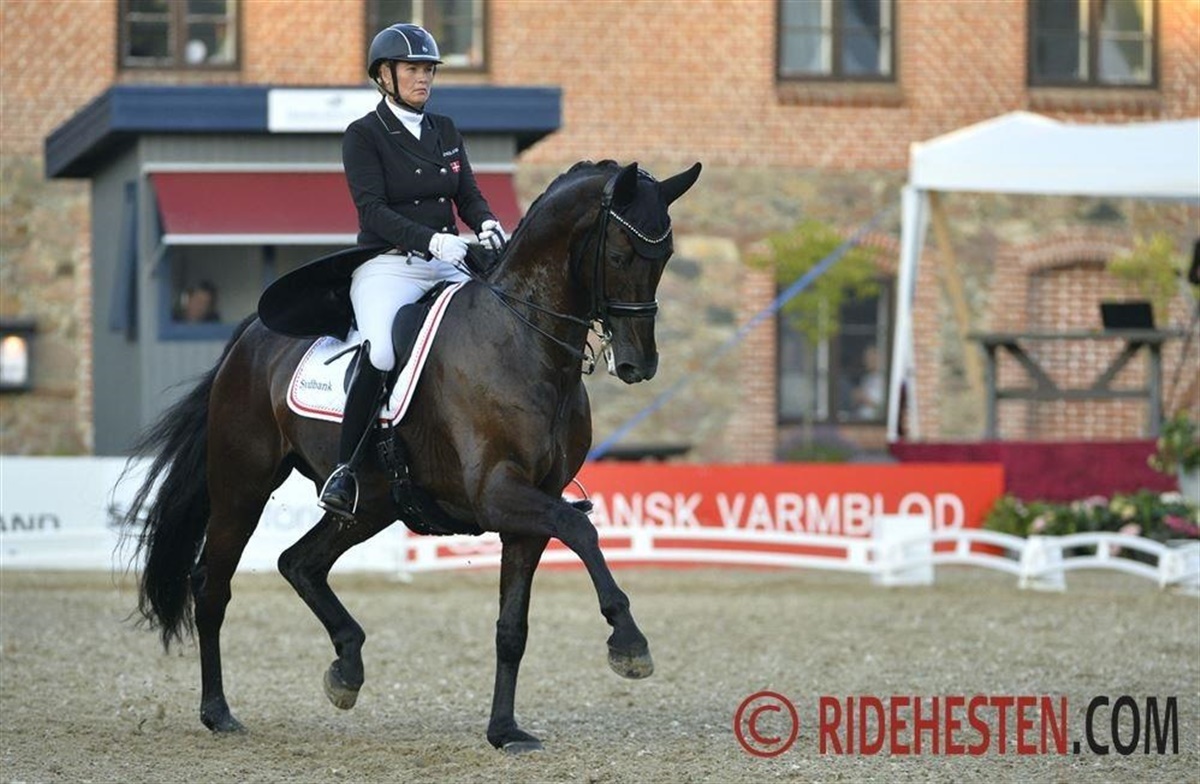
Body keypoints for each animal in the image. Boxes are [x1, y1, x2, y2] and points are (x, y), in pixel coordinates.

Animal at [119, 159, 702, 752]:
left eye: (667, 257)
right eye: (620, 256)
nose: (638, 364)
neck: (523, 340)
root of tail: (247, 338)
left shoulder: (530, 508)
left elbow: (512, 628)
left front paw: (504, 730)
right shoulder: (498, 494)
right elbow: (582, 531)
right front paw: (629, 643)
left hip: (372, 504)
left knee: (299, 562)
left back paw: (347, 669)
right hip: (243, 488)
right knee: (212, 587)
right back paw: (219, 712)